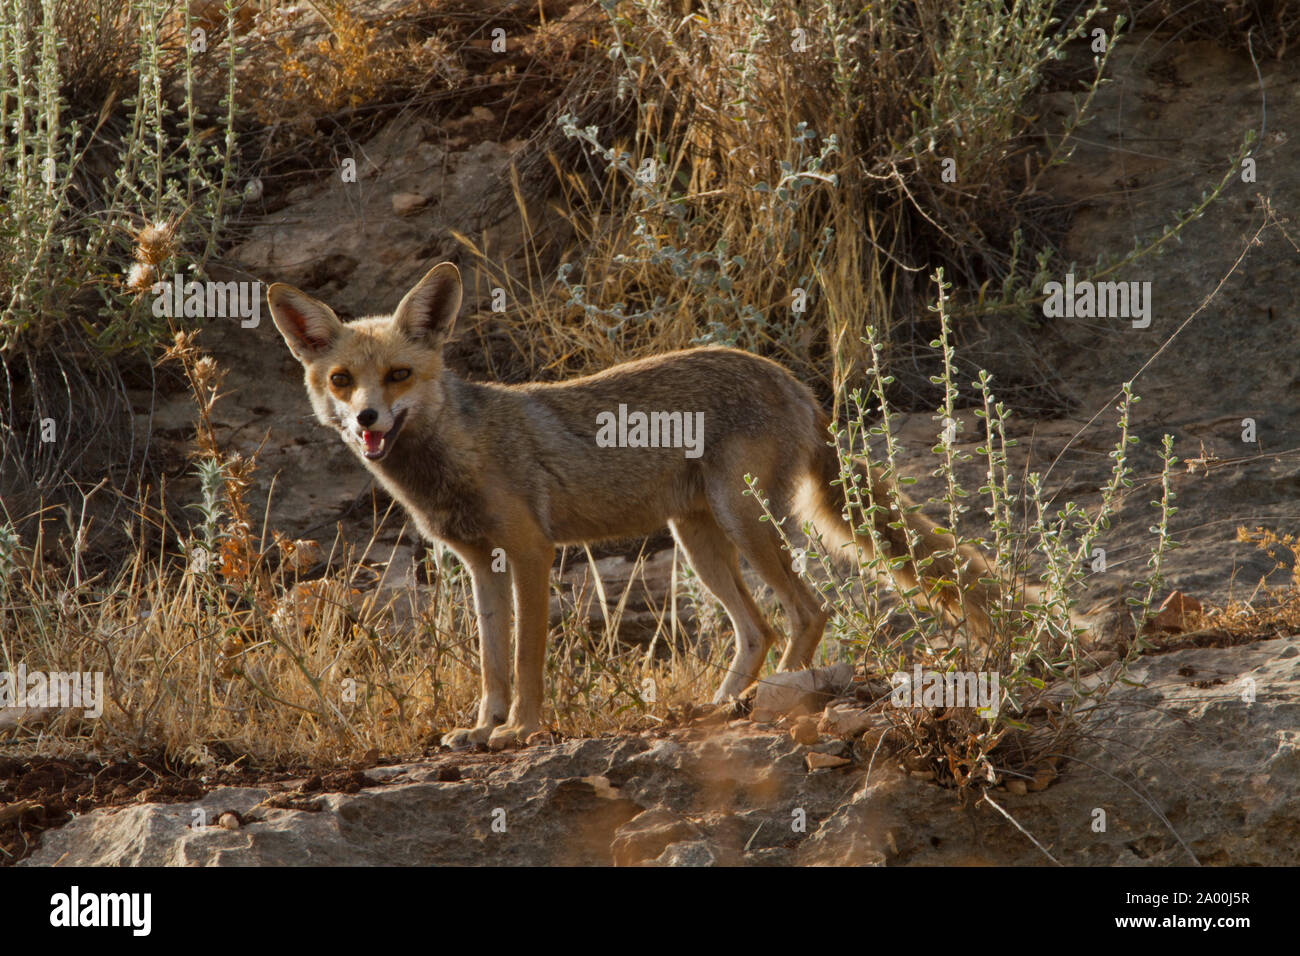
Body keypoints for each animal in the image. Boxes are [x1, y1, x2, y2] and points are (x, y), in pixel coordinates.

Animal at [269, 261, 1008, 749]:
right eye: (342, 379)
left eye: (398, 375)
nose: (366, 419)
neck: (457, 454)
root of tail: (796, 383)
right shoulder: (483, 563)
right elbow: (490, 661)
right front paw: (483, 727)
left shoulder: (532, 552)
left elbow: (528, 659)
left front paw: (521, 730)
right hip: (697, 539)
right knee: (758, 629)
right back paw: (720, 707)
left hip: (744, 524)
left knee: (807, 612)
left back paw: (769, 700)